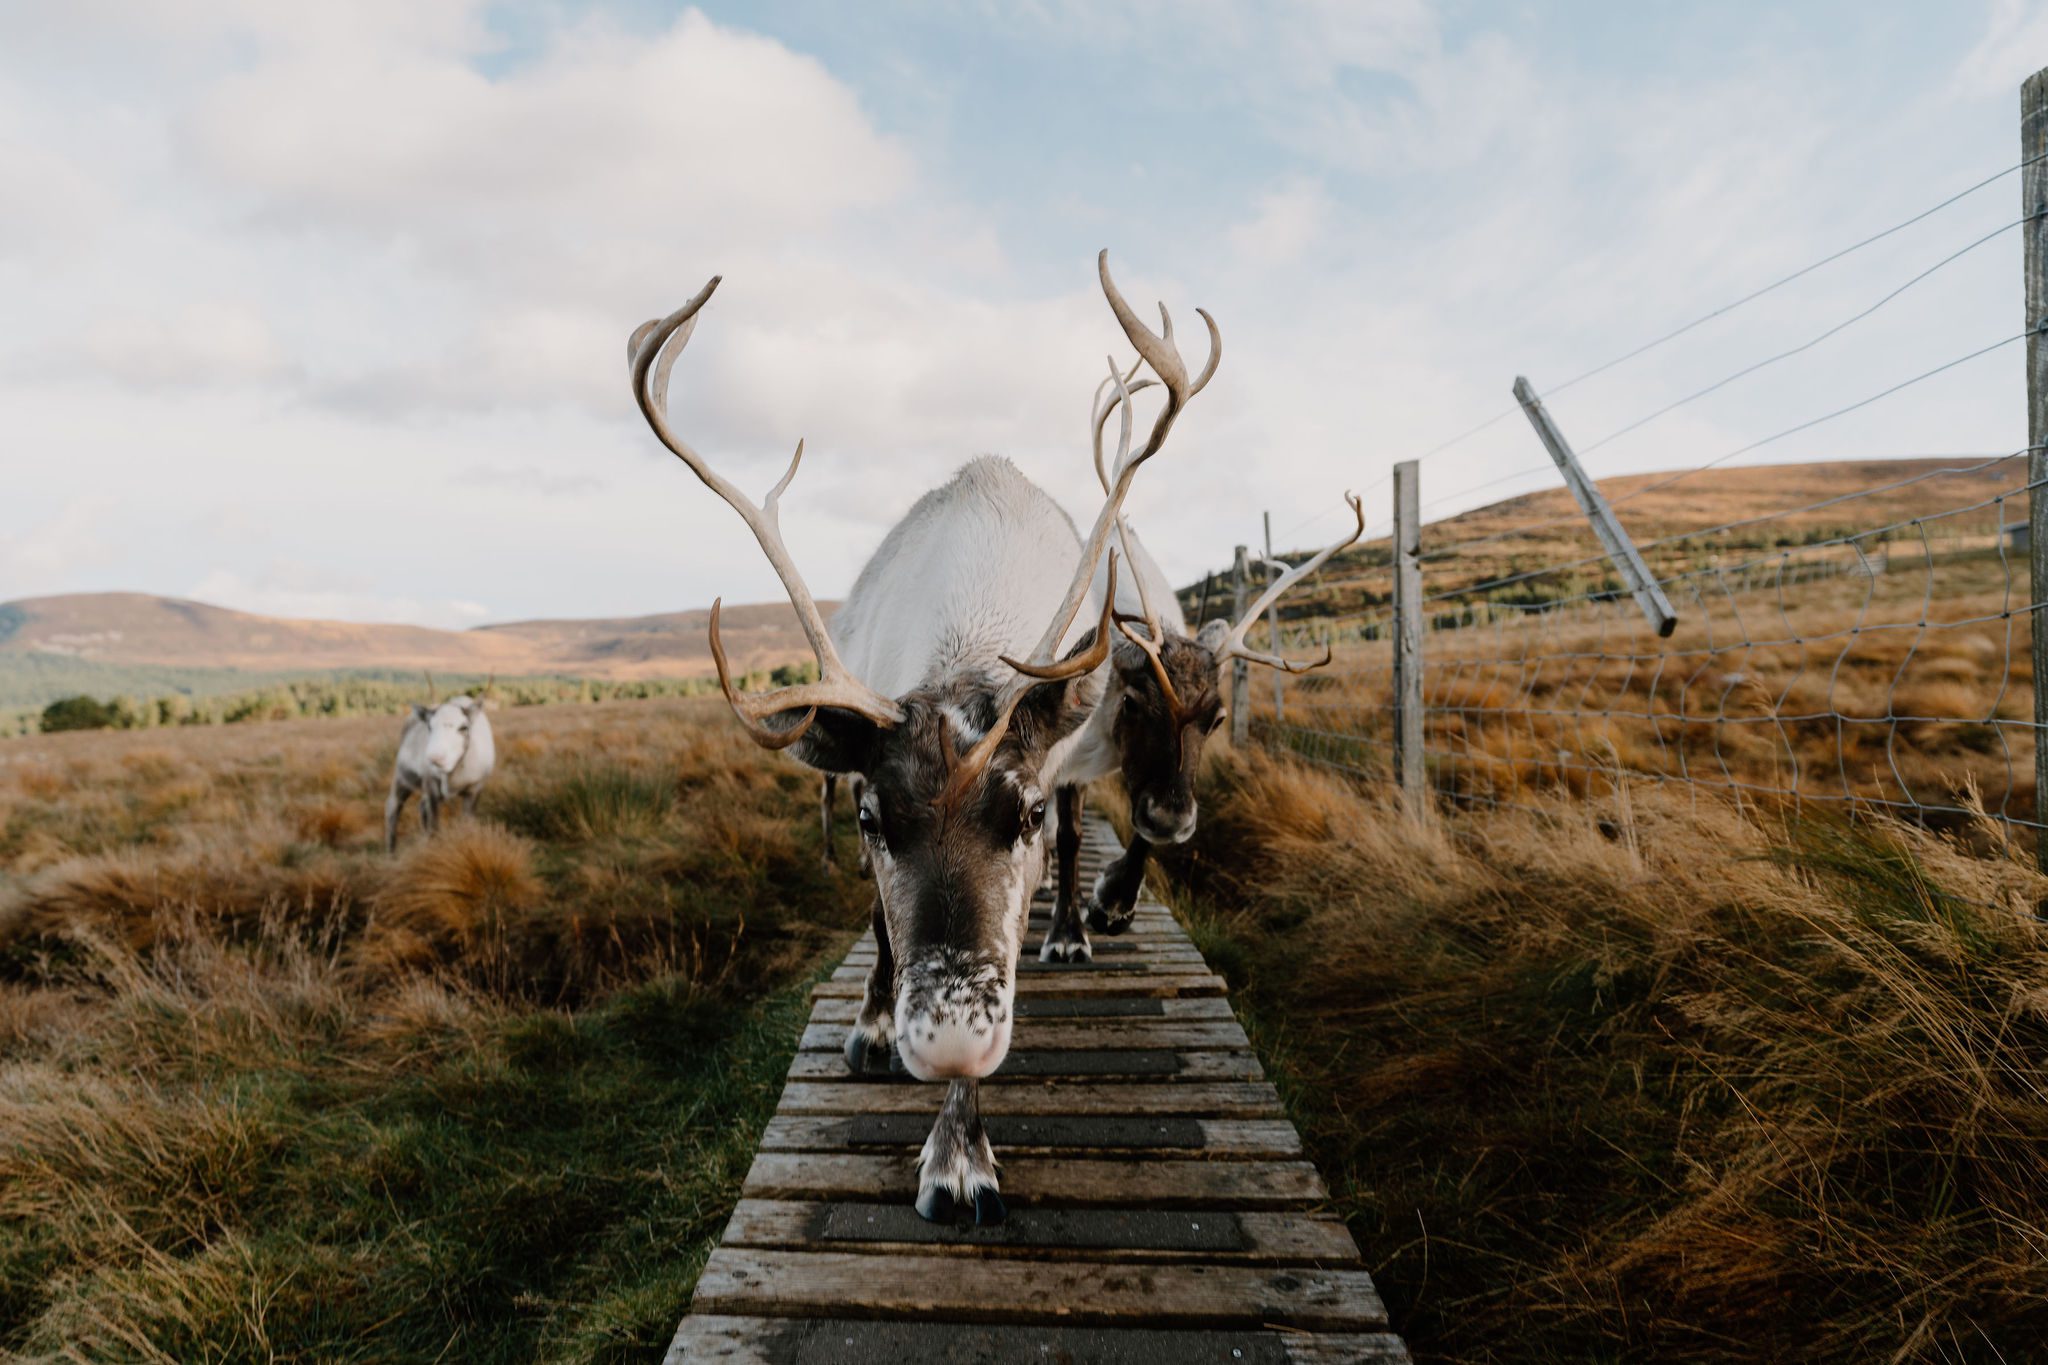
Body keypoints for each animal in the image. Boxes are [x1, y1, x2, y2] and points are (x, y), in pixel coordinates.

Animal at [625, 251, 1219, 1224]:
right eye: (871, 819)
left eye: (1020, 816)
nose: (943, 1042)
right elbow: (879, 917)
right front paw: (902, 1068)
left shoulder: (1051, 784)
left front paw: (960, 1149)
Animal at [1032, 354, 1364, 963]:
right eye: (1134, 703)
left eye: (1219, 719)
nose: (1174, 818)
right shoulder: (1070, 749)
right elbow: (1068, 835)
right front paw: (1068, 932)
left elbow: (1142, 833)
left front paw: (1113, 902)